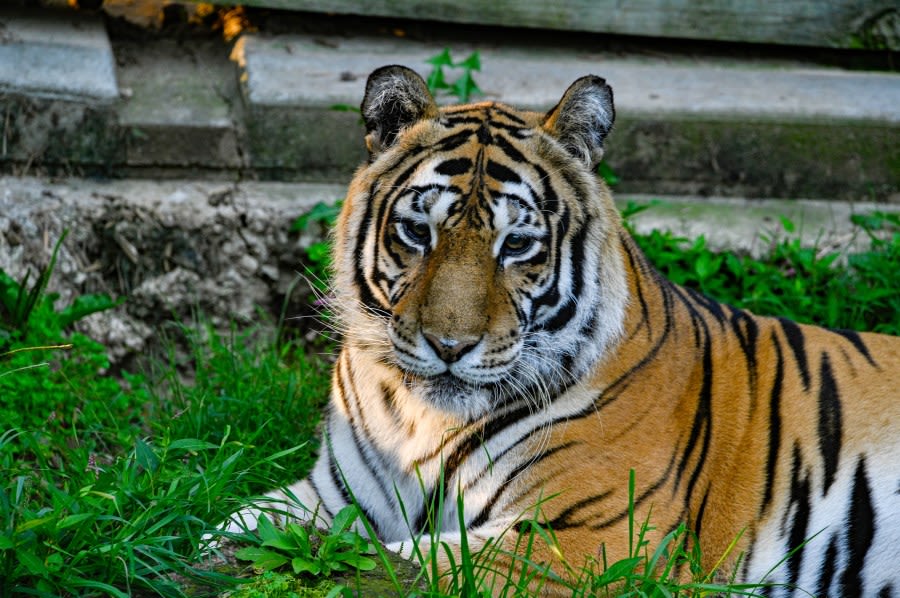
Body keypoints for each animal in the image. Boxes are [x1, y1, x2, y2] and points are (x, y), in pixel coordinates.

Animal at [225, 68, 900, 596]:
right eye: (418, 233)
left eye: (517, 245)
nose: (449, 348)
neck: (420, 421)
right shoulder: (333, 495)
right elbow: (226, 523)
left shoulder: (588, 538)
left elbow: (383, 569)